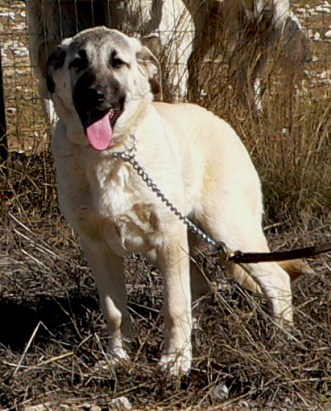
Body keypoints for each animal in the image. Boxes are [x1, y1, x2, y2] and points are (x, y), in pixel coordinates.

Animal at [47, 27, 312, 378]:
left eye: (117, 63)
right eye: (78, 62)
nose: (95, 95)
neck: (112, 154)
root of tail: (218, 120)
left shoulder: (167, 238)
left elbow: (173, 304)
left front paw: (175, 360)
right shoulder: (97, 248)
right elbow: (114, 312)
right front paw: (118, 359)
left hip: (227, 231)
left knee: (276, 280)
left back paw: (280, 341)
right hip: (175, 246)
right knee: (203, 289)